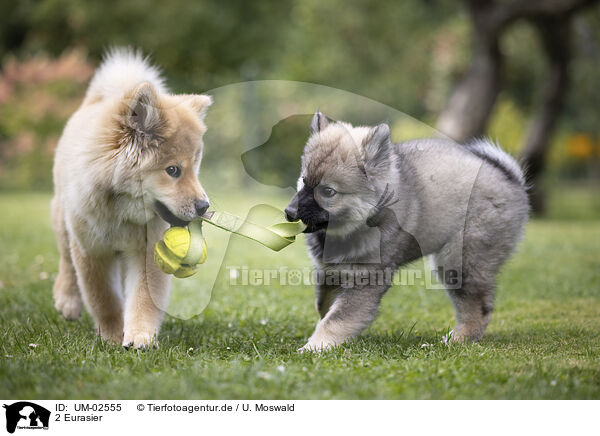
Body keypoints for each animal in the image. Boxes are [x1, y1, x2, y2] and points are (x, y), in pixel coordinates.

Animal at [288, 112, 528, 350]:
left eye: (328, 191)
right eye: (303, 181)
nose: (289, 212)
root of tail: (511, 180)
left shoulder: (366, 279)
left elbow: (337, 319)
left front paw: (314, 348)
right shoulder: (329, 272)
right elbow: (324, 307)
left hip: (460, 261)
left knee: (478, 307)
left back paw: (456, 340)